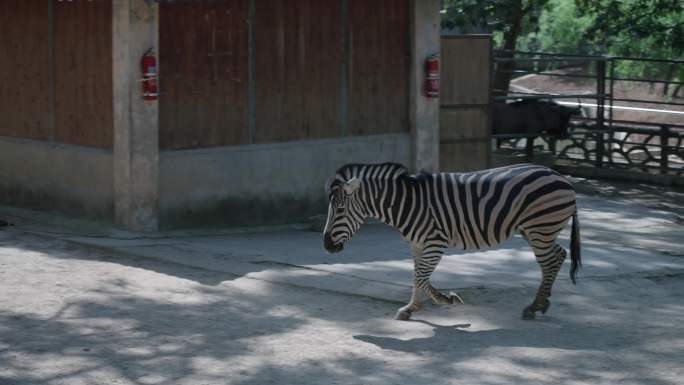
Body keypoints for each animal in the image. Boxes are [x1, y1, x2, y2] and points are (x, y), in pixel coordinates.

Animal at [324, 161, 580, 318]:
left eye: (339, 210)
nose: (326, 246)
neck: (406, 204)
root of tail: (560, 176)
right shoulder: (416, 245)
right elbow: (416, 276)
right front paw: (411, 308)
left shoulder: (435, 243)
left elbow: (421, 277)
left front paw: (447, 299)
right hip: (535, 230)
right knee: (558, 256)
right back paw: (542, 303)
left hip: (540, 228)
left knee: (551, 261)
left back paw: (535, 307)